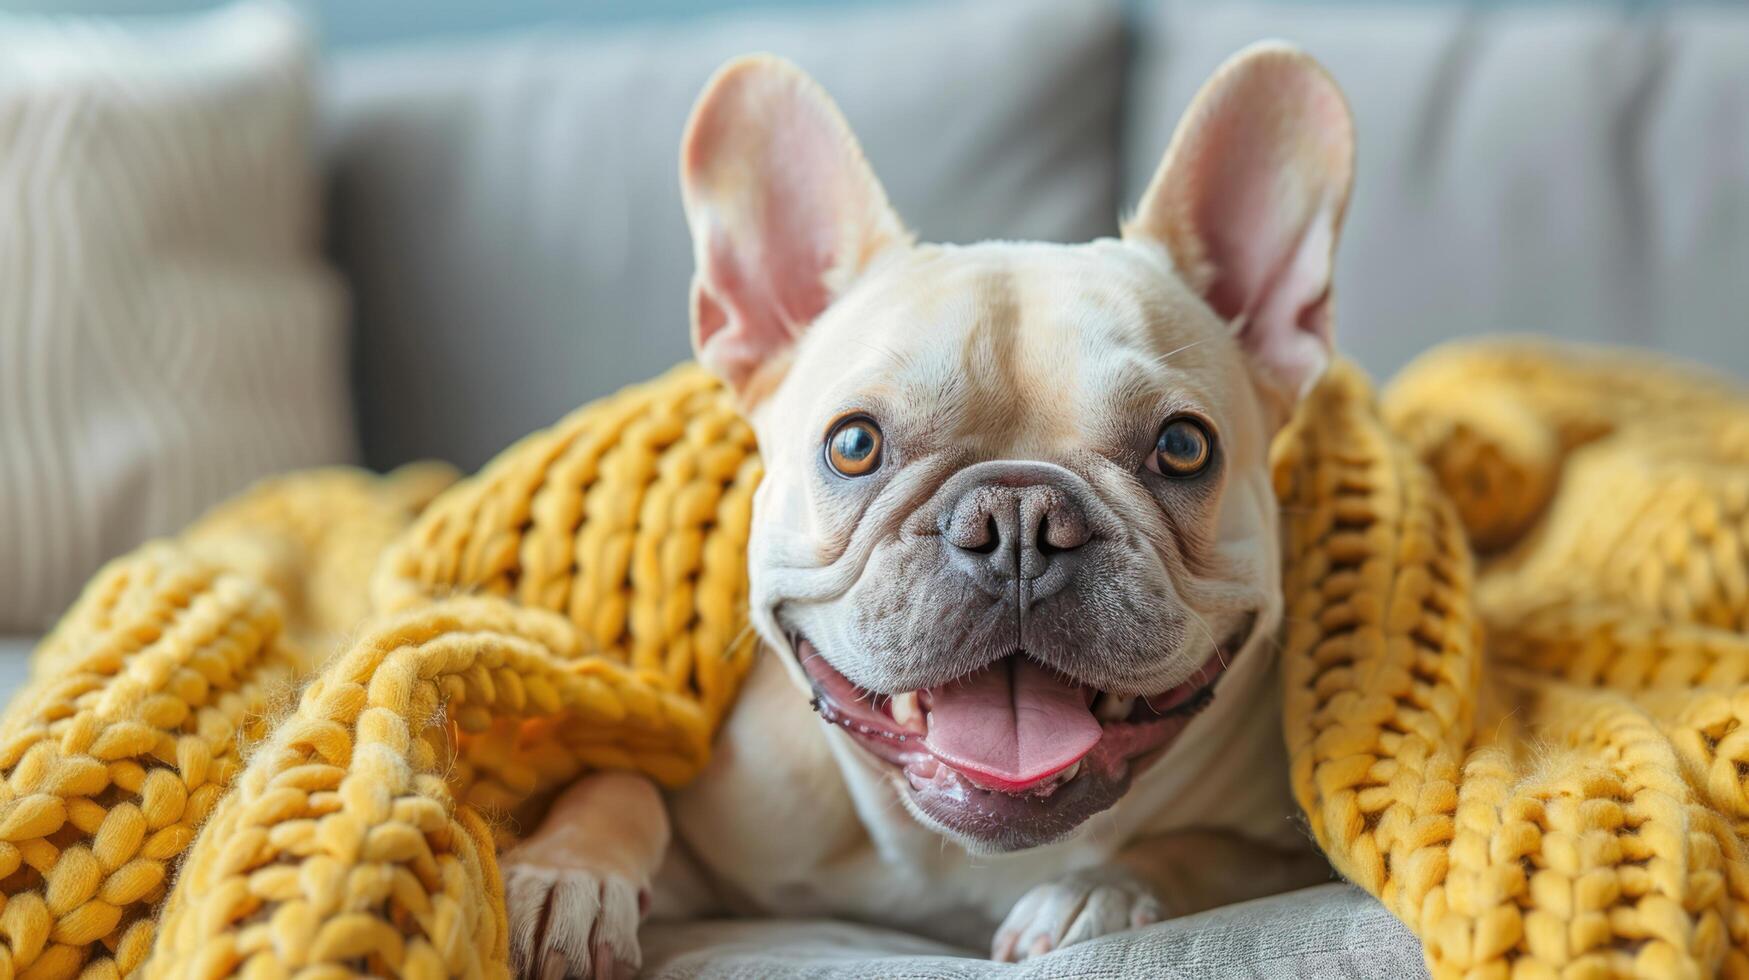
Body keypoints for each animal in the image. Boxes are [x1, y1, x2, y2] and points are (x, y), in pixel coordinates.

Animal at [500, 40, 1357, 980]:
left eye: (1182, 447)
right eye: (852, 444)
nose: (1018, 522)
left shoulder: (1290, 848)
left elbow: (1202, 850)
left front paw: (1093, 892)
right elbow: (624, 780)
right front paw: (567, 875)